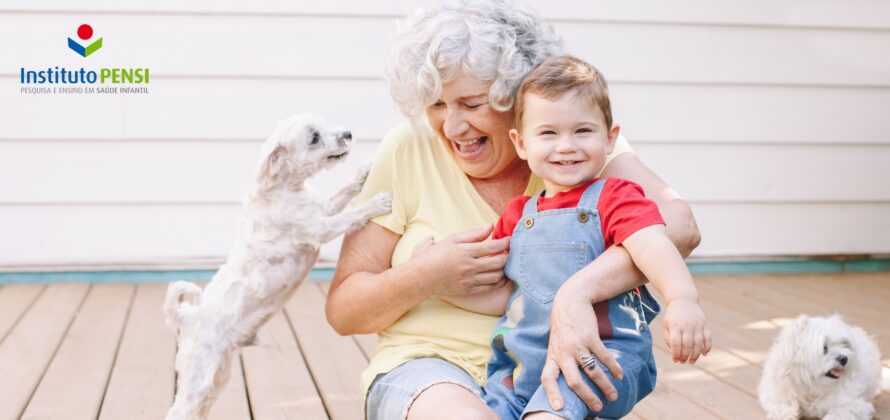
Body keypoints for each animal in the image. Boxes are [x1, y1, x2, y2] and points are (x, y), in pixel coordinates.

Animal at [161, 113, 390, 418]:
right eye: (314, 138)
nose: (348, 134)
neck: (286, 190)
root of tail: (186, 318)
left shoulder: (321, 210)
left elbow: (342, 194)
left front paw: (364, 171)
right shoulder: (318, 229)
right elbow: (351, 216)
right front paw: (377, 203)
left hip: (219, 376)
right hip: (198, 379)